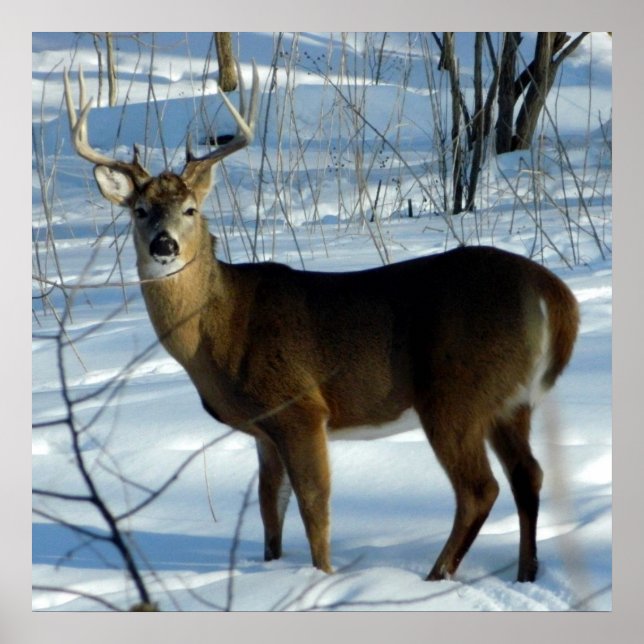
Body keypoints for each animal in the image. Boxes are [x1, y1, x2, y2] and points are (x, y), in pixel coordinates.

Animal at [63, 62, 579, 584]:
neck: (221, 331)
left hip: (456, 394)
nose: (164, 245)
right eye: (140, 211)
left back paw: (436, 576)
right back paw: (525, 572)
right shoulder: (264, 430)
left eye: (191, 209)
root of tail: (550, 290)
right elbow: (270, 508)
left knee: (479, 488)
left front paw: (322, 577)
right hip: (509, 401)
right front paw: (272, 567)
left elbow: (315, 505)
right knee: (528, 475)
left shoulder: (300, 407)